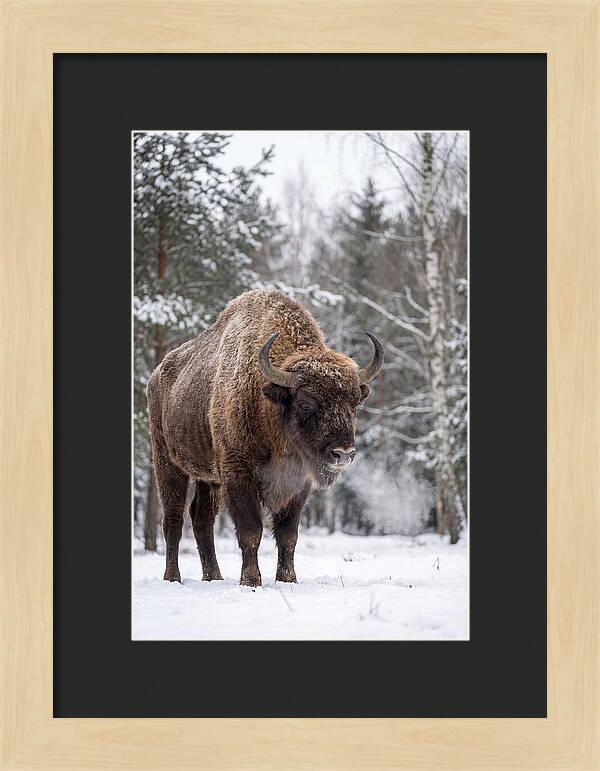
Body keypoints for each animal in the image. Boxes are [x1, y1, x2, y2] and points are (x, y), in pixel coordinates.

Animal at [147, 289, 383, 586]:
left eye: (354, 403)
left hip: (207, 477)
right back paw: (173, 578)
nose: (343, 453)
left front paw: (288, 579)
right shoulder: (238, 475)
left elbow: (288, 534)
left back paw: (214, 577)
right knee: (174, 519)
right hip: (167, 462)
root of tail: (156, 375)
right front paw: (251, 581)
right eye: (305, 402)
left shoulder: (298, 484)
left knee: (201, 519)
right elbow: (251, 531)